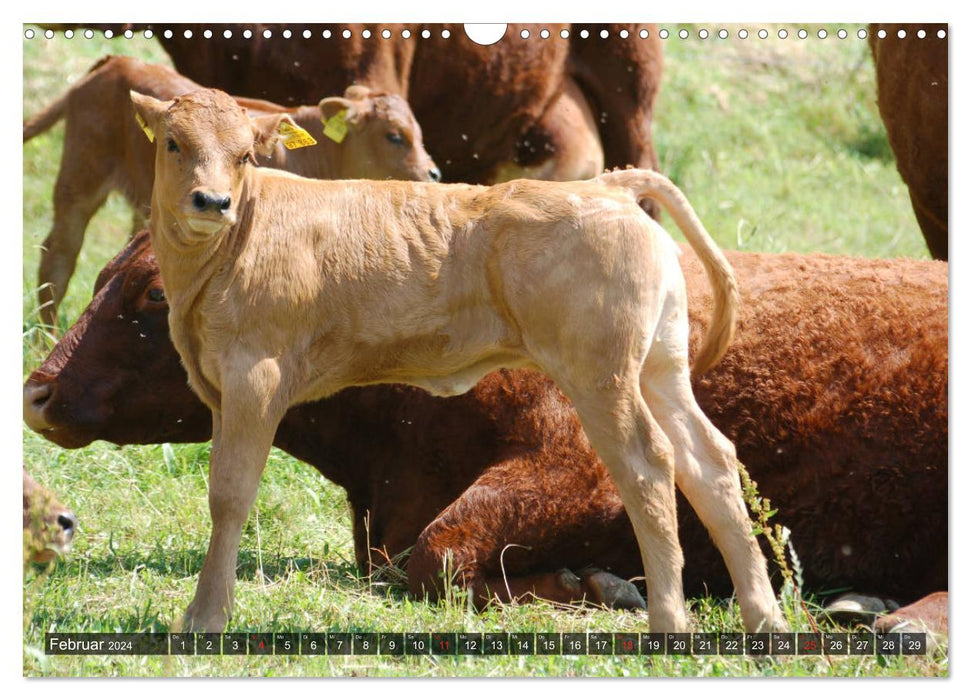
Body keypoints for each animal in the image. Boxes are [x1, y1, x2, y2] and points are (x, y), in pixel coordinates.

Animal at [22, 55, 440, 328]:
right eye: (395, 136)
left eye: (418, 133)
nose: (433, 173)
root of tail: (114, 61)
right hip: (80, 178)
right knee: (59, 256)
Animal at [129, 87, 784, 636]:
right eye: (173, 142)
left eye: (244, 154)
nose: (212, 201)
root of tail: (607, 186)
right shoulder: (221, 386)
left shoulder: (255, 378)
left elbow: (230, 493)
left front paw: (206, 617)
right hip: (659, 367)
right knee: (709, 461)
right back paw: (764, 619)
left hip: (602, 375)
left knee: (649, 466)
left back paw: (670, 622)